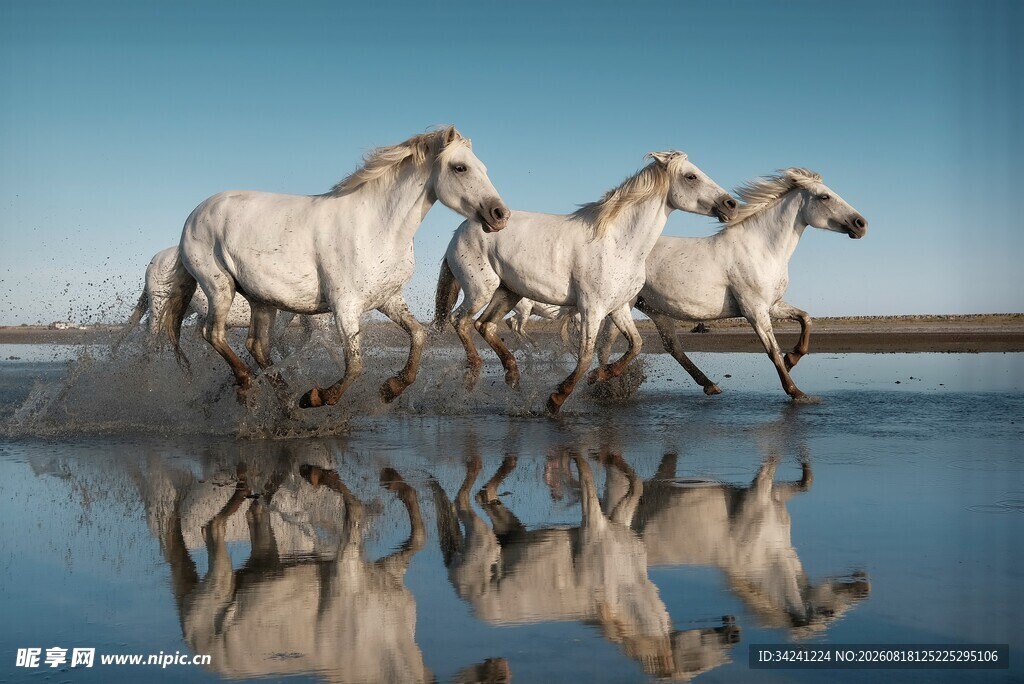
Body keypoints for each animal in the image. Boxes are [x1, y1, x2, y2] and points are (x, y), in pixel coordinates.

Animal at [160, 126, 509, 406]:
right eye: (460, 167)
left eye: (484, 167)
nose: (499, 215)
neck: (377, 225)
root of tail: (195, 214)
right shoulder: (345, 305)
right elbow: (355, 365)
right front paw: (317, 397)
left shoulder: (387, 299)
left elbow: (418, 335)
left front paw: (391, 389)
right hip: (219, 287)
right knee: (214, 333)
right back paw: (250, 386)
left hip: (261, 299)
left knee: (256, 346)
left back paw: (286, 401)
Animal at [433, 151, 736, 413]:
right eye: (691, 176)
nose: (730, 205)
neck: (619, 242)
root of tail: (460, 230)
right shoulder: (592, 308)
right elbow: (586, 354)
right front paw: (556, 399)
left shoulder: (618, 307)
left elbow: (635, 345)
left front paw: (600, 376)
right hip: (480, 290)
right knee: (461, 321)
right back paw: (474, 376)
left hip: (509, 292)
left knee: (485, 325)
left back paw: (513, 375)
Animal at [600, 167, 867, 400]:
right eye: (825, 196)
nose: (861, 223)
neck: (762, 249)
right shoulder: (754, 310)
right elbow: (772, 350)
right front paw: (796, 392)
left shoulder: (773, 305)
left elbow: (806, 318)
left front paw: (792, 359)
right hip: (625, 304)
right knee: (609, 344)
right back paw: (604, 382)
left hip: (656, 309)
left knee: (671, 346)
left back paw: (709, 385)